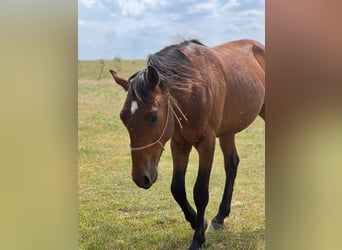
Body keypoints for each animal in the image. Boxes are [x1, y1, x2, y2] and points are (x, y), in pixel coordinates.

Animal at [109, 39, 264, 250]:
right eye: (123, 117)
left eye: (153, 117)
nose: (141, 177)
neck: (194, 90)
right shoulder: (179, 144)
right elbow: (177, 189)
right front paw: (199, 222)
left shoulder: (206, 144)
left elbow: (200, 192)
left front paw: (198, 239)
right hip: (228, 132)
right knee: (232, 165)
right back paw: (219, 218)